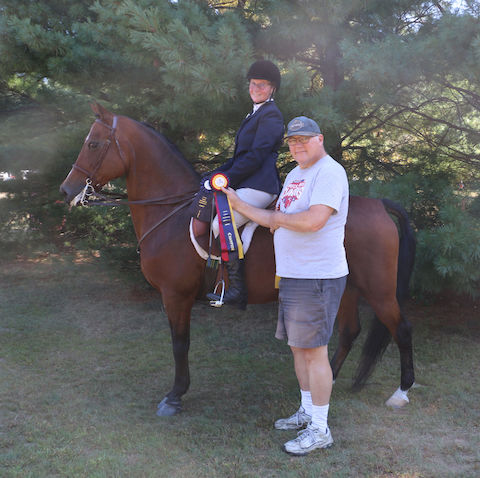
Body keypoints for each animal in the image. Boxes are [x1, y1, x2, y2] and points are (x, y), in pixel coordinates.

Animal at [58, 103, 414, 414]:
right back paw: (331, 380)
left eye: (93, 144)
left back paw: (401, 393)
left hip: (379, 290)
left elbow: (179, 344)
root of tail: (379, 204)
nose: (66, 190)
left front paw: (174, 397)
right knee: (350, 331)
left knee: (401, 328)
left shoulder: (176, 295)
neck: (169, 212)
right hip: (347, 287)